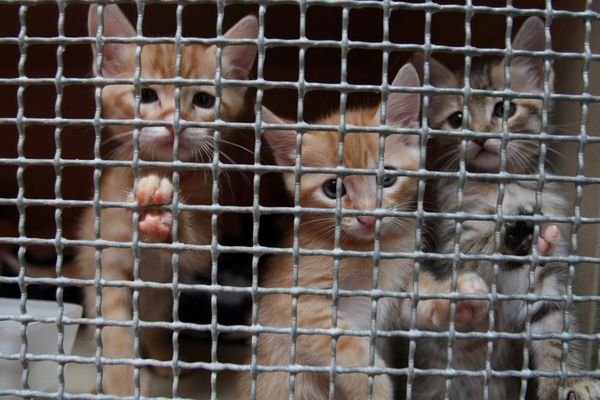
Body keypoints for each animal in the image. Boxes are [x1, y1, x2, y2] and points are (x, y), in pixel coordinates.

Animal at [75, 4, 258, 396]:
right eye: (146, 95)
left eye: (203, 100)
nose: (175, 124)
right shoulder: (108, 262)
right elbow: (115, 329)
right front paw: (120, 384)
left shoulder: (203, 239)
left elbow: (194, 244)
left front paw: (166, 216)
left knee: (157, 328)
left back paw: (163, 360)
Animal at [237, 64, 490, 398]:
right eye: (333, 188)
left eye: (388, 179)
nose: (368, 217)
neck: (369, 250)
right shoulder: (295, 302)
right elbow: (342, 342)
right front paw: (374, 384)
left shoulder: (396, 291)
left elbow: (420, 303)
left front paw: (460, 297)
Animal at [414, 16, 600, 400]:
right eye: (457, 119)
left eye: (504, 109)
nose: (480, 137)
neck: (504, 184)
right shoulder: (454, 241)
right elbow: (478, 250)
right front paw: (514, 236)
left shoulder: (548, 281)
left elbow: (555, 333)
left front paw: (566, 383)